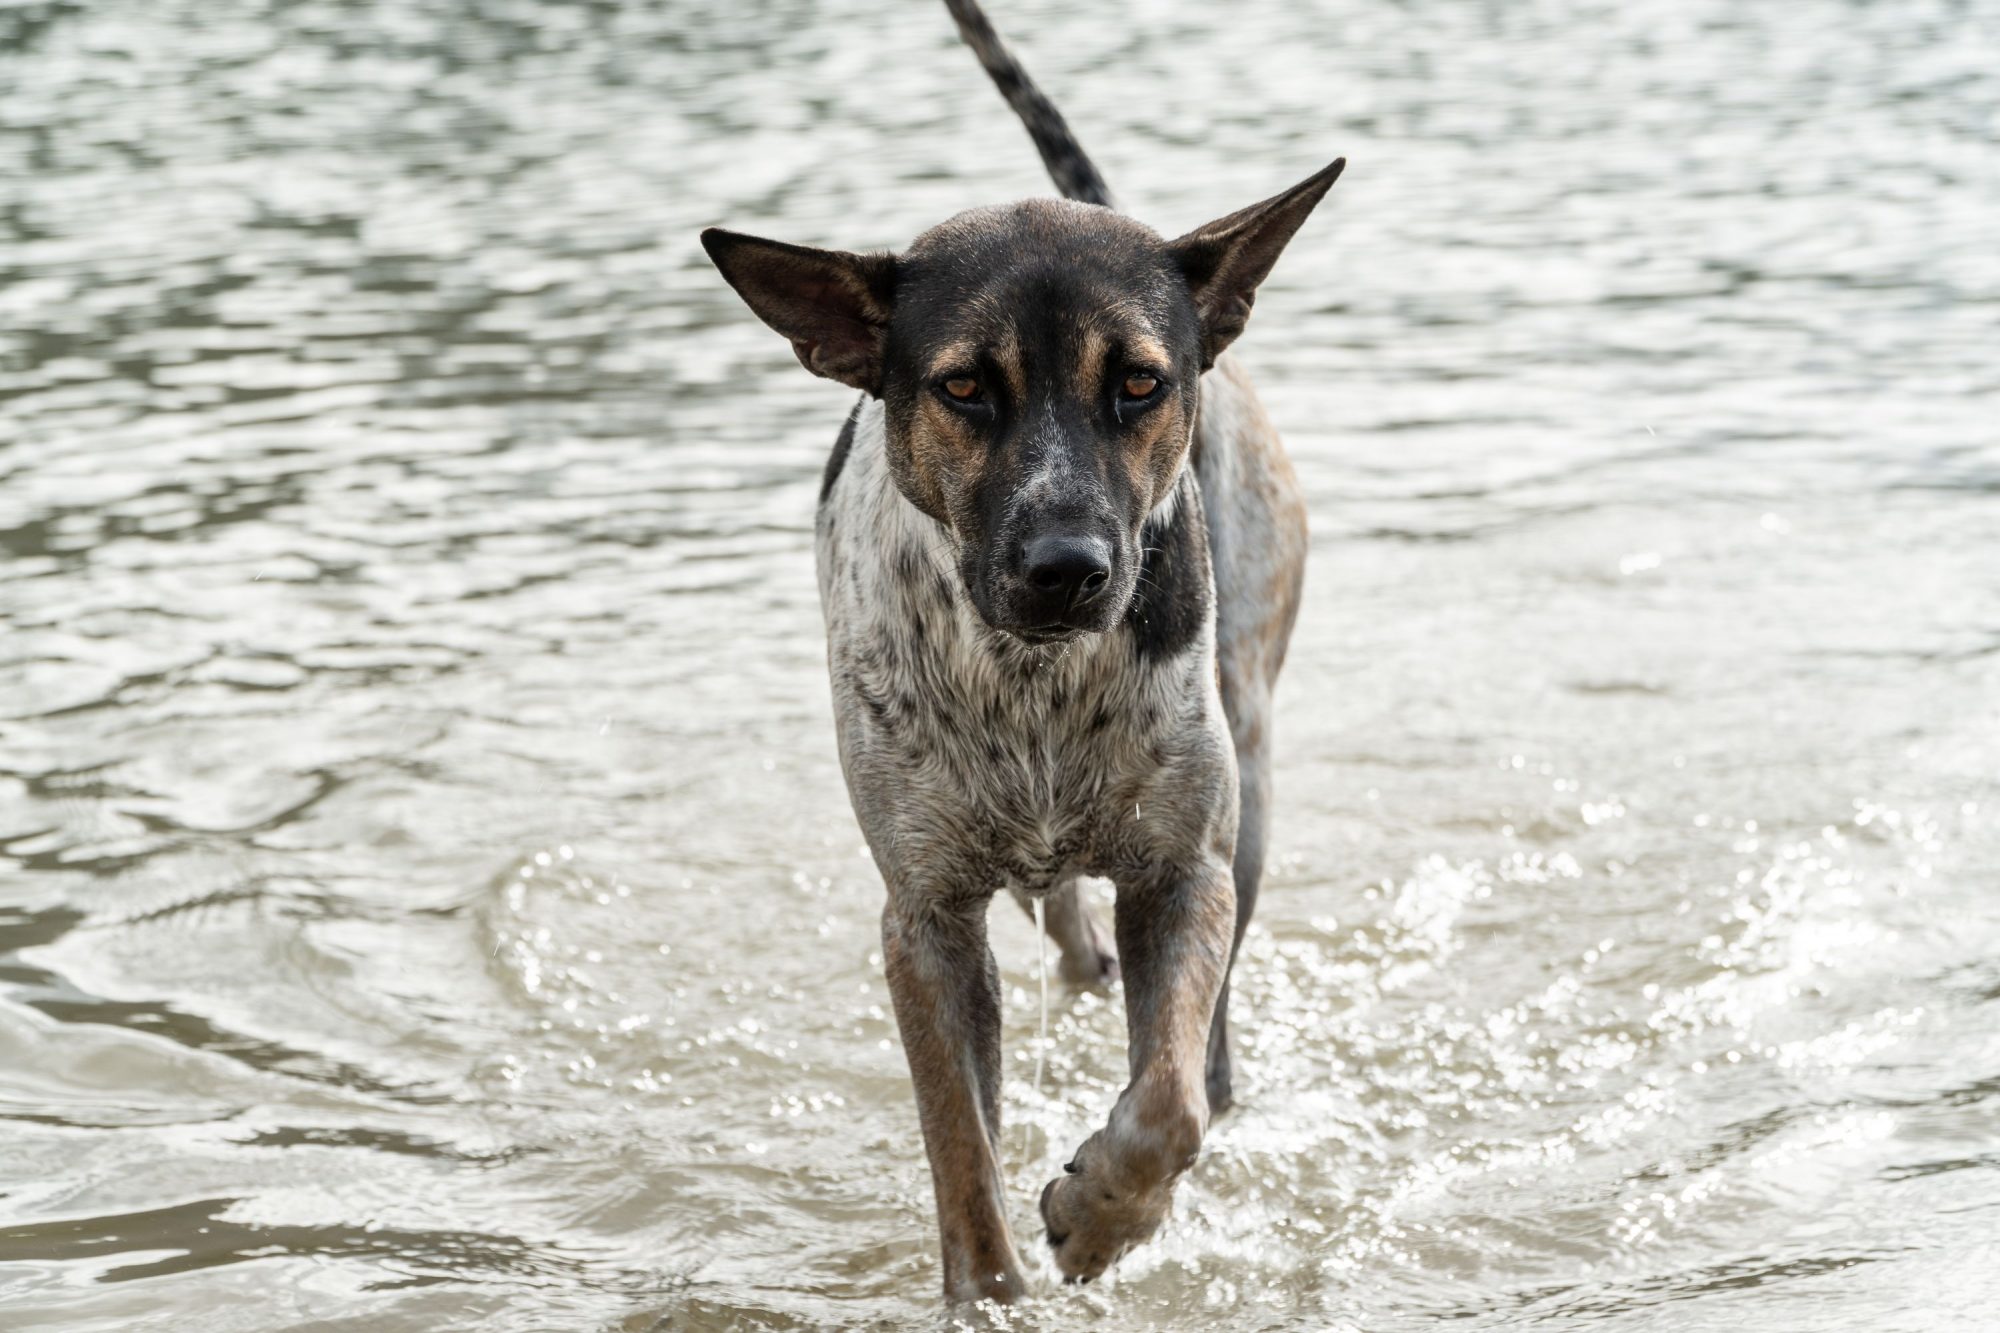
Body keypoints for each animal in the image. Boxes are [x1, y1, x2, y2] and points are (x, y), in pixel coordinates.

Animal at [704, 0, 1344, 1296]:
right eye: (963, 388)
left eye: (1138, 382)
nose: (1067, 566)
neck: (1032, 684)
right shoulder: (923, 921)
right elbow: (961, 1158)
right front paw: (992, 1288)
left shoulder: (1182, 870)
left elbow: (1166, 1104)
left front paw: (1099, 1210)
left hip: (1246, 769)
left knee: (1204, 1036)